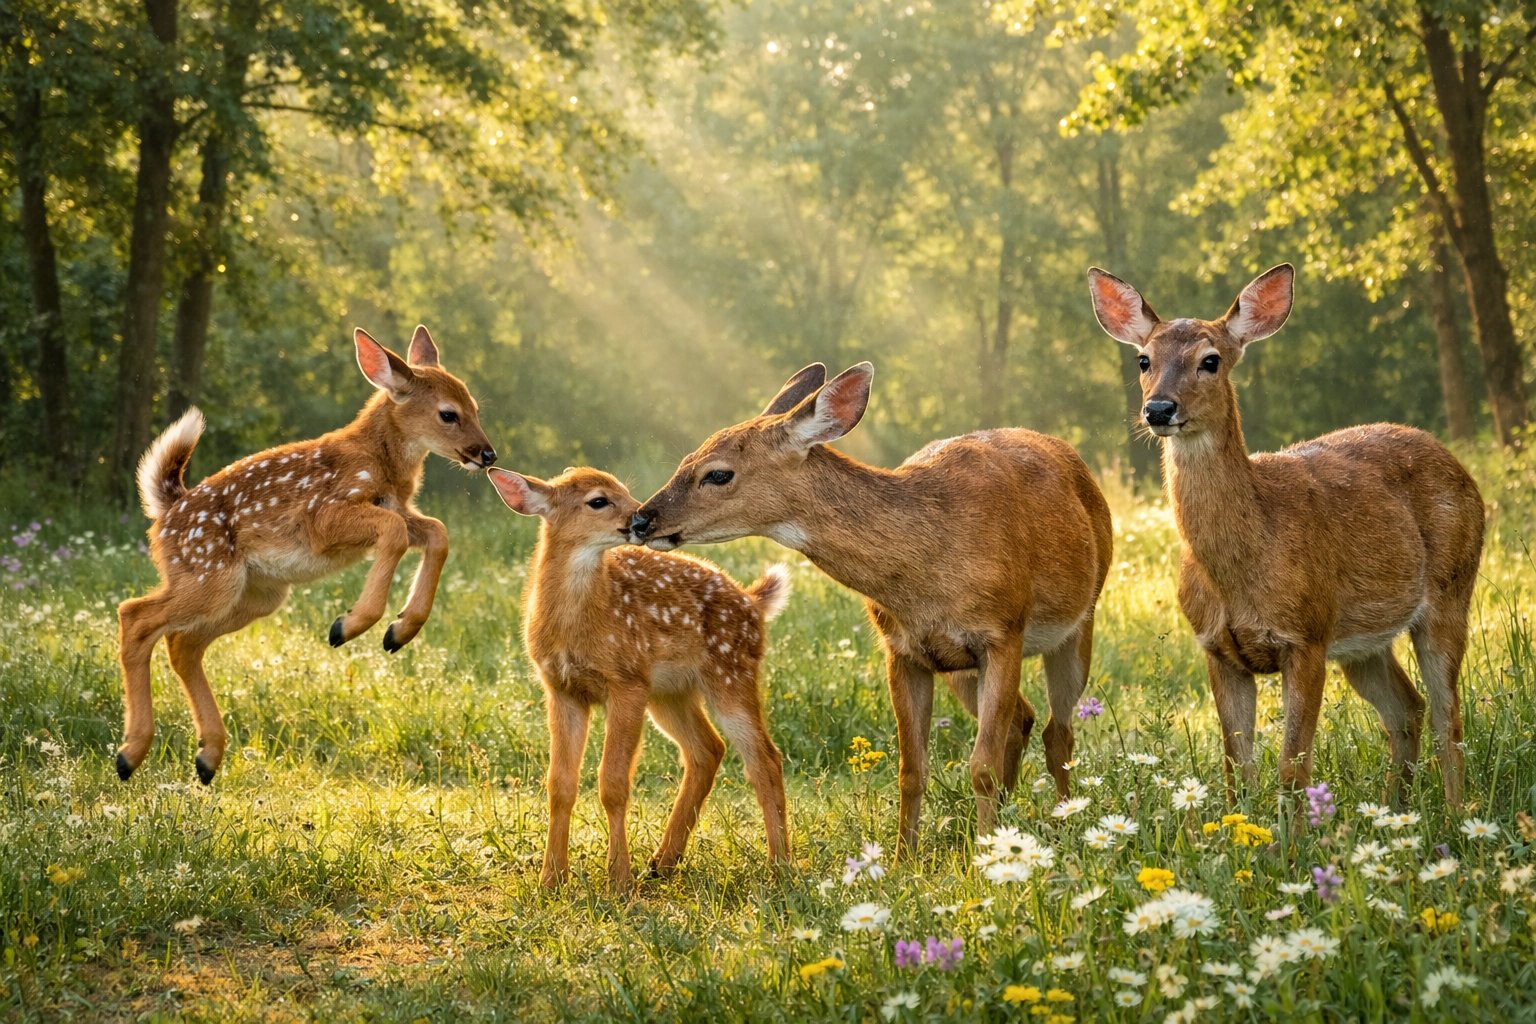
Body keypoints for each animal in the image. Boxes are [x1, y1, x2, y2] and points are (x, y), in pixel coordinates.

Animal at [116, 325, 497, 785]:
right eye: (448, 414)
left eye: (475, 407)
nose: (488, 454)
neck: (381, 465)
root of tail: (167, 512)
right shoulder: (324, 516)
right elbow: (393, 533)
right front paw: (350, 625)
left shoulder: (402, 510)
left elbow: (438, 533)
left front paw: (400, 630)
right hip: (209, 574)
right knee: (135, 616)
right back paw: (130, 754)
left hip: (255, 595)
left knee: (181, 643)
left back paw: (206, 757)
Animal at [488, 466, 792, 892]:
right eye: (599, 500)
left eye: (625, 489)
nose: (640, 519)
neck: (576, 627)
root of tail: (752, 601)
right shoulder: (562, 689)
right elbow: (559, 785)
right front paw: (552, 879)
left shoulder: (626, 681)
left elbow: (613, 783)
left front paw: (618, 880)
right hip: (669, 694)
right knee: (707, 750)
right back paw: (663, 862)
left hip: (730, 672)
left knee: (765, 759)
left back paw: (780, 868)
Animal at [627, 363, 1114, 855]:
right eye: (686, 459)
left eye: (718, 474)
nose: (642, 519)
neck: (926, 572)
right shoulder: (902, 650)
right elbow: (911, 770)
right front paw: (903, 858)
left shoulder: (1002, 632)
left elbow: (981, 766)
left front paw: (983, 855)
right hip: (960, 669)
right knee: (1023, 720)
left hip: (1079, 622)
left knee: (1058, 731)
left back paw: (1060, 818)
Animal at [1087, 264, 1485, 807]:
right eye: (1144, 359)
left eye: (1210, 361)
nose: (1159, 409)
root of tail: (1458, 466)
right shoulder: (1217, 648)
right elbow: (1238, 770)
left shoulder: (1307, 635)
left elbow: (1293, 769)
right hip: (1363, 642)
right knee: (1408, 708)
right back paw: (1395, 810)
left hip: (1450, 592)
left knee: (1450, 719)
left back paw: (1454, 815)